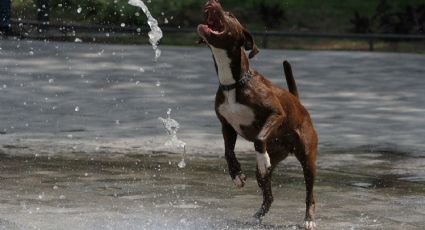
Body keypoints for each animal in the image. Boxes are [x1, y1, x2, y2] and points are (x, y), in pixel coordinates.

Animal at [197, 0, 316, 229]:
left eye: (230, 14)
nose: (212, 2)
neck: (234, 83)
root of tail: (299, 103)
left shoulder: (276, 114)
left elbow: (259, 138)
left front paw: (261, 158)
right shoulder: (226, 126)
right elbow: (228, 151)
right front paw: (236, 174)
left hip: (308, 159)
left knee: (310, 193)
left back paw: (309, 219)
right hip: (272, 162)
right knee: (269, 196)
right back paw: (256, 217)